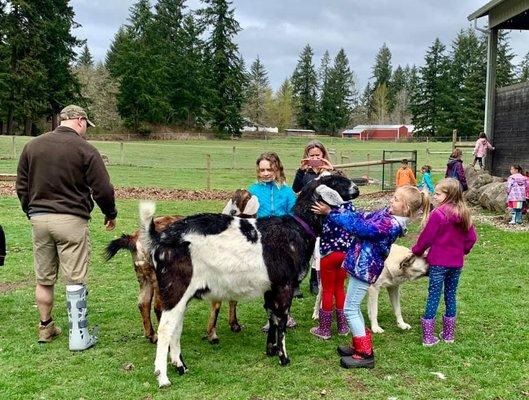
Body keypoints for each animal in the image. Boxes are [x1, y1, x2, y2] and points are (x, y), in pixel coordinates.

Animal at [138, 173, 358, 386]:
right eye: (336, 180)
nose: (356, 189)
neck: (297, 229)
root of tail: (159, 238)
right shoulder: (284, 285)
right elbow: (281, 319)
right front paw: (283, 358)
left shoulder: (270, 287)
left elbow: (272, 315)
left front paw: (271, 350)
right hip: (175, 287)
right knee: (166, 328)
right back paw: (163, 377)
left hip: (182, 294)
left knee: (176, 326)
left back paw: (180, 366)